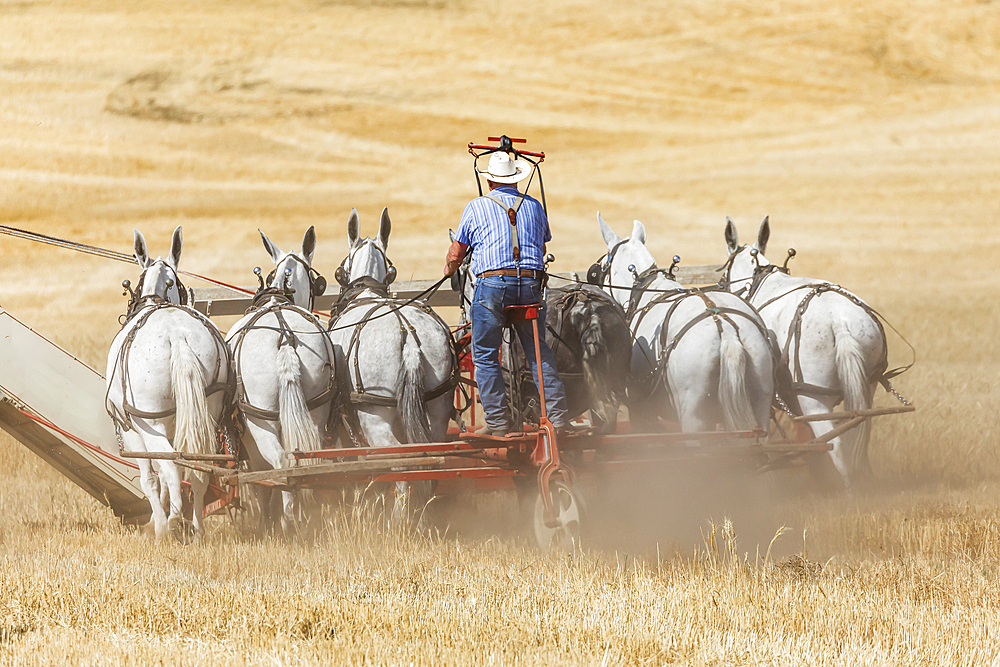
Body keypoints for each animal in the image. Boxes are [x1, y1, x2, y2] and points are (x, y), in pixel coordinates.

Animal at [106, 227, 232, 540]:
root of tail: (178, 336)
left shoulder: (132, 431)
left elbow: (152, 479)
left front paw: (157, 525)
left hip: (150, 422)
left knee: (173, 467)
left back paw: (172, 523)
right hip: (207, 415)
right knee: (199, 468)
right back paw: (196, 528)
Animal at [226, 227, 336, 536]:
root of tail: (285, 336)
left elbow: (262, 481)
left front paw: (268, 518)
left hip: (258, 421)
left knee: (280, 462)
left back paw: (288, 521)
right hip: (315, 412)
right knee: (304, 460)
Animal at [592, 214, 772, 440]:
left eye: (604, 264)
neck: (646, 287)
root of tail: (727, 330)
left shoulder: (640, 411)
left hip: (695, 417)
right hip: (760, 401)